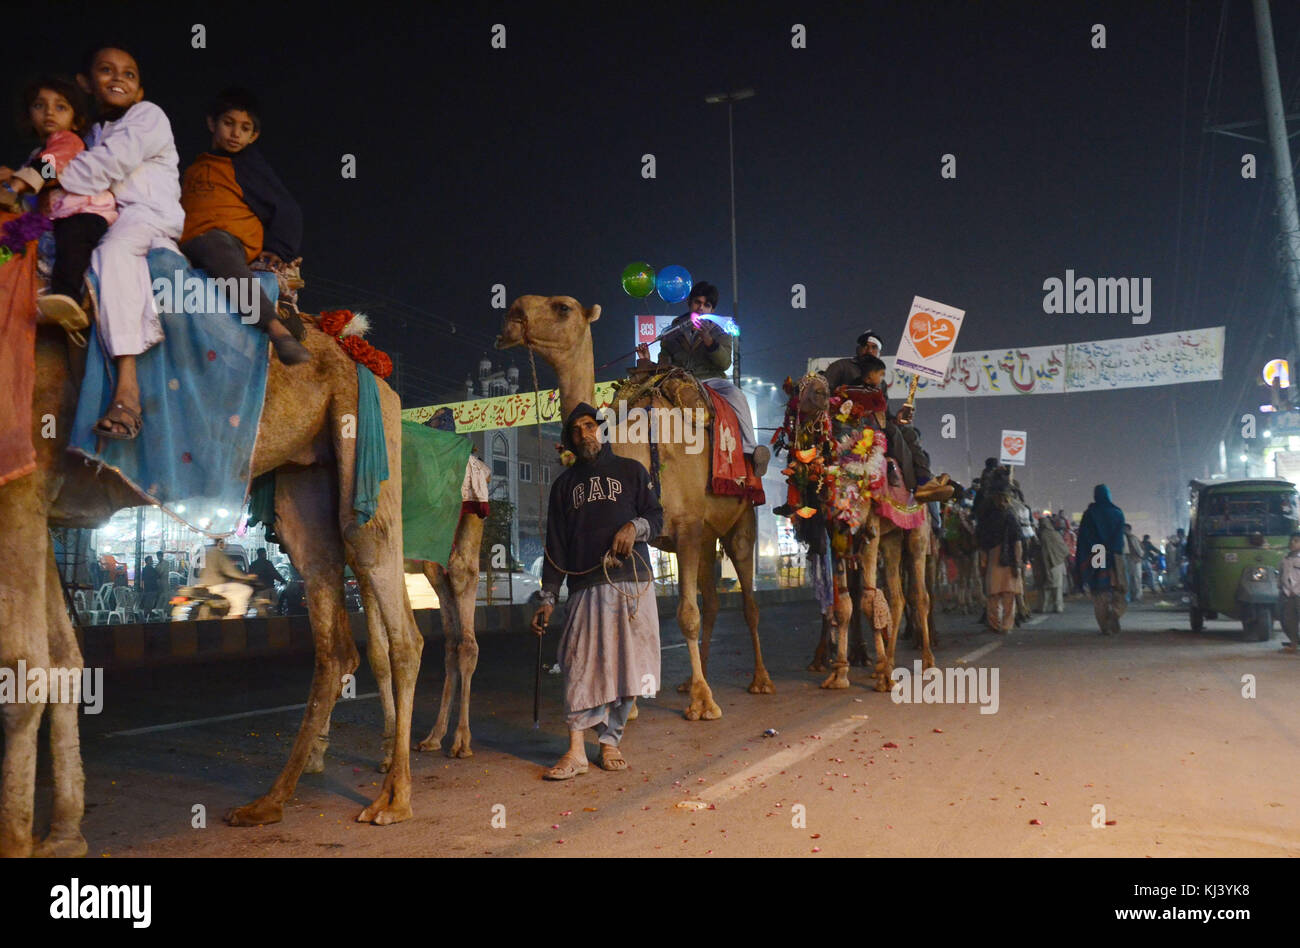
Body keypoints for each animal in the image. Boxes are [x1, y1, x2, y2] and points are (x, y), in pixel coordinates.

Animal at [0, 312, 457, 858]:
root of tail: (368, 360)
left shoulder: (21, 483)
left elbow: (21, 670)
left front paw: (22, 839)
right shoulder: (42, 507)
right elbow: (61, 661)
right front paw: (62, 836)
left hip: (368, 439)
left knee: (391, 605)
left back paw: (393, 798)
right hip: (307, 480)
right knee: (333, 628)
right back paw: (270, 800)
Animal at [491, 296, 764, 717]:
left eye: (562, 307)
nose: (514, 314)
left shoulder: (686, 527)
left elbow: (687, 614)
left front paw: (704, 704)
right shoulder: (659, 535)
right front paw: (632, 705)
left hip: (741, 518)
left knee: (748, 601)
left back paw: (759, 681)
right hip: (706, 538)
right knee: (716, 600)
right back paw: (690, 680)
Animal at [780, 374, 935, 691]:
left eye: (821, 389)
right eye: (799, 390)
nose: (821, 391)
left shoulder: (869, 530)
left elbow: (867, 600)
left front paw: (883, 676)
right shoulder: (837, 535)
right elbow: (844, 605)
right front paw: (839, 673)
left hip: (917, 533)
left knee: (919, 595)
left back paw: (925, 662)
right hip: (892, 539)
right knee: (897, 597)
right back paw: (888, 663)